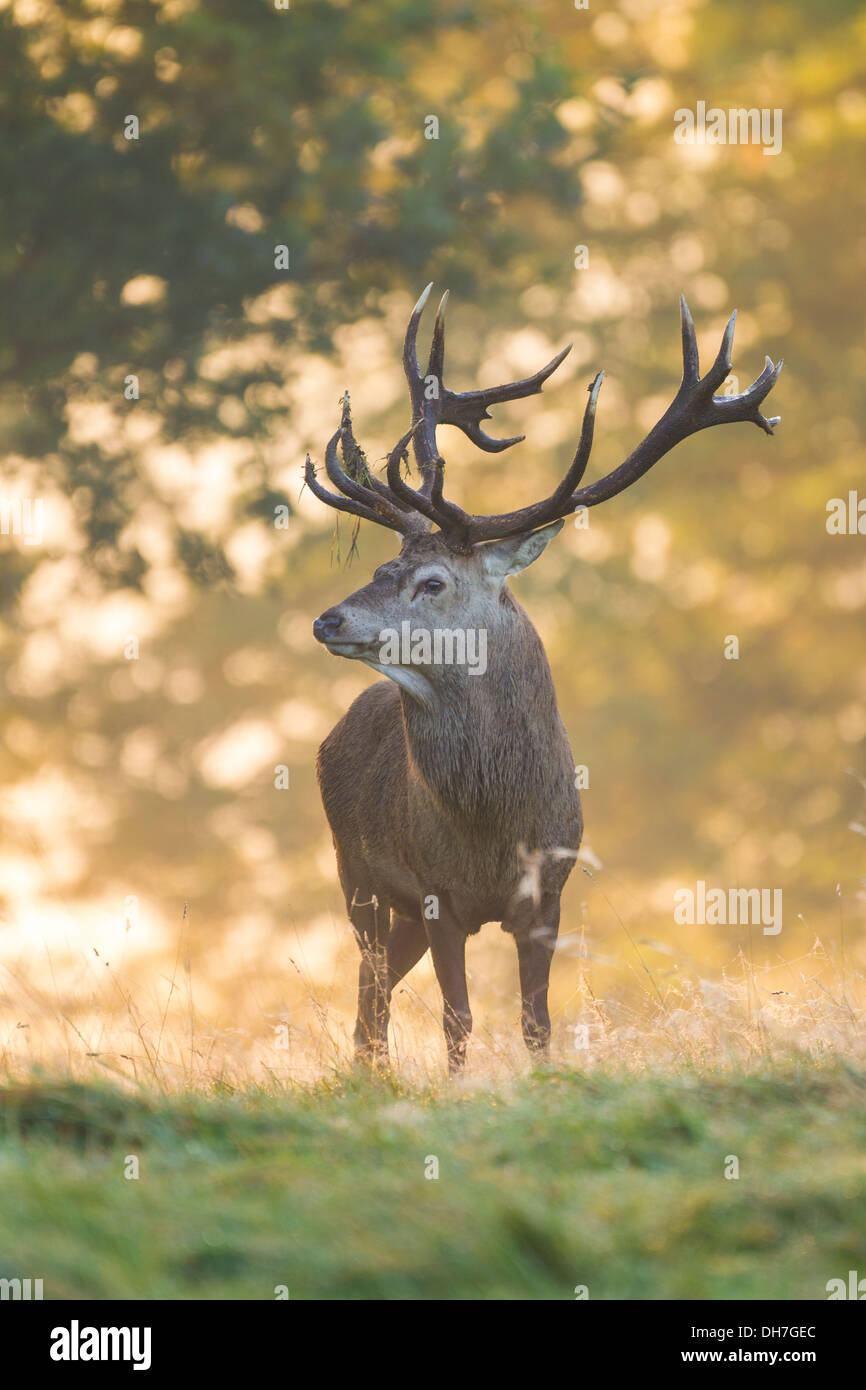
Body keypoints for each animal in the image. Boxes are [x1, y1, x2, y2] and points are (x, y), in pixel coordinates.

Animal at [306, 285, 782, 1072]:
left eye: (432, 581)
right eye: (380, 568)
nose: (327, 620)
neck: (496, 829)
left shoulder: (549, 895)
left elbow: (536, 1021)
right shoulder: (436, 895)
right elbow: (459, 1021)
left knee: (369, 999)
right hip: (357, 877)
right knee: (370, 1001)